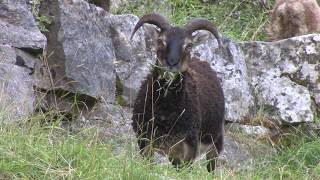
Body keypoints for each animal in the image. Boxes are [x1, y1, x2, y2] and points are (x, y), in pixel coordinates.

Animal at [130, 13, 225, 172]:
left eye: (189, 45)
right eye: (160, 41)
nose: (172, 63)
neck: (165, 112)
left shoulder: (189, 145)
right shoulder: (145, 139)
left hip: (215, 141)